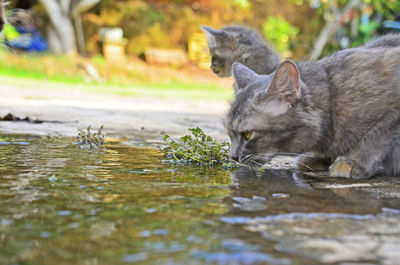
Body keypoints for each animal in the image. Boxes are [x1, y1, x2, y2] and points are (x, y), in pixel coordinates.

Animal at [227, 46, 400, 179]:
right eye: (230, 134)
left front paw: (354, 162)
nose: (233, 157)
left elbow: (374, 140)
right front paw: (318, 158)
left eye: (247, 134)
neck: (332, 99)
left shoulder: (391, 116)